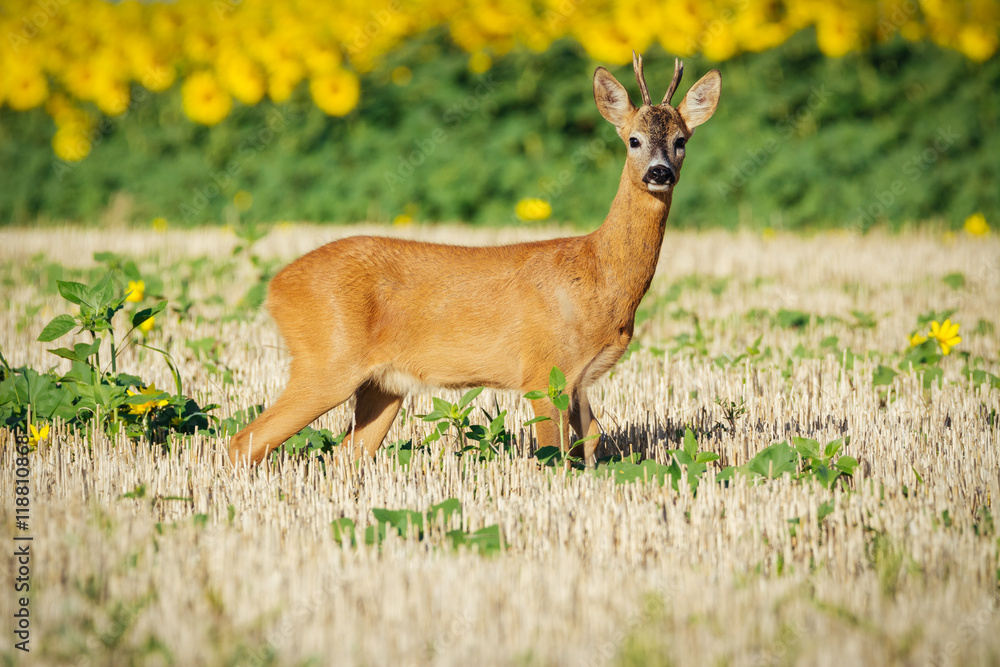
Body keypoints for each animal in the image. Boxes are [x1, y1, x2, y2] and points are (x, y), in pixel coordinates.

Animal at [229, 52, 721, 469]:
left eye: (680, 140)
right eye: (633, 140)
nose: (660, 172)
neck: (598, 275)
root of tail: (275, 286)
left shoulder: (580, 380)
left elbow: (592, 441)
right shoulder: (542, 372)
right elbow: (553, 454)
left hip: (383, 385)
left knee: (347, 453)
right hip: (326, 360)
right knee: (245, 440)